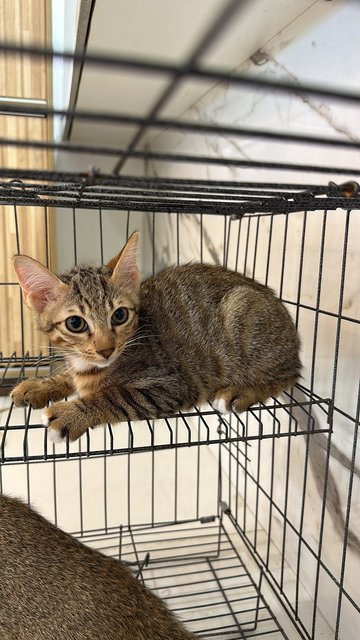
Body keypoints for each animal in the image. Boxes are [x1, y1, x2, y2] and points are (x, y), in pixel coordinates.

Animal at [10, 231, 300, 444]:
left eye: (119, 315)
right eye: (75, 323)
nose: (106, 349)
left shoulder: (172, 384)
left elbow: (116, 396)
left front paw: (70, 413)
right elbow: (70, 377)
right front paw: (40, 385)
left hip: (241, 309)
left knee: (287, 375)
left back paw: (240, 392)